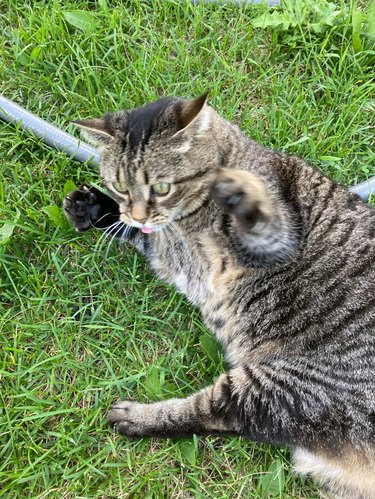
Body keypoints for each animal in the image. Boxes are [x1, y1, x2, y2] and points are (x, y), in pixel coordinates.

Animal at [64, 94, 375, 499]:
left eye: (161, 187)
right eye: (119, 186)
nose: (138, 212)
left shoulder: (274, 237)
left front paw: (240, 190)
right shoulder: (171, 254)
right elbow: (139, 231)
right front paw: (95, 208)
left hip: (291, 386)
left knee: (212, 413)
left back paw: (135, 418)